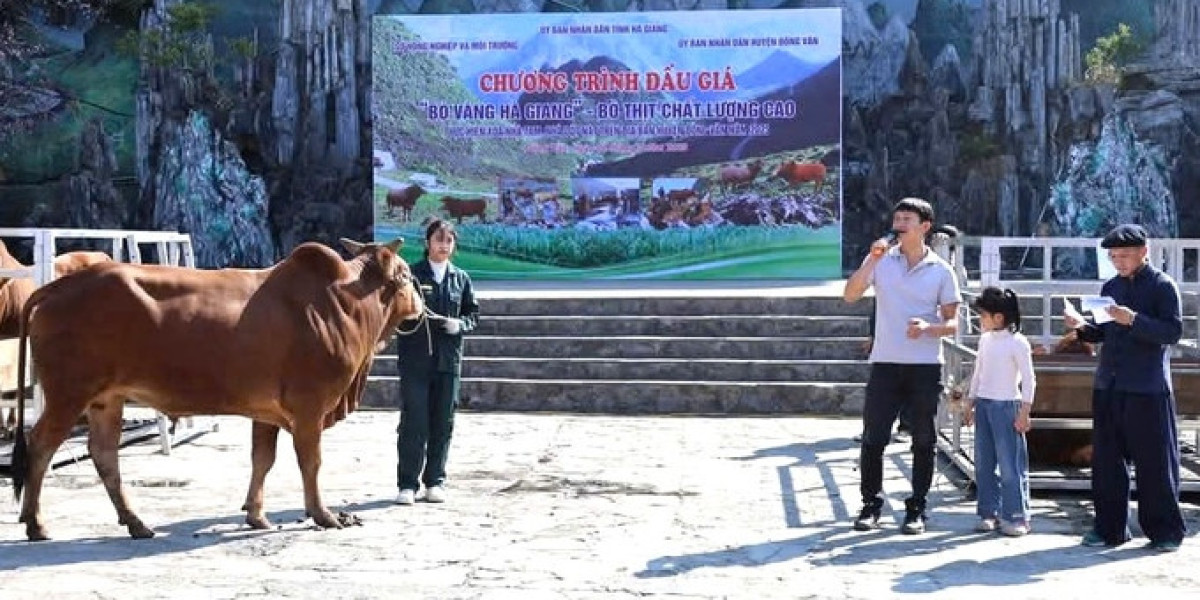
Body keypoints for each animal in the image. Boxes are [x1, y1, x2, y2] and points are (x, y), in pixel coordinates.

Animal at [9, 237, 420, 540]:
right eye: (405, 274)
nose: (421, 301)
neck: (343, 303)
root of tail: (58, 285)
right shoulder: (310, 408)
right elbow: (311, 462)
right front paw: (324, 515)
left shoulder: (266, 413)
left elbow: (262, 460)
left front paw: (256, 515)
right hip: (68, 395)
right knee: (41, 446)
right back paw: (36, 523)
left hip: (106, 399)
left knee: (104, 455)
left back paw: (136, 523)